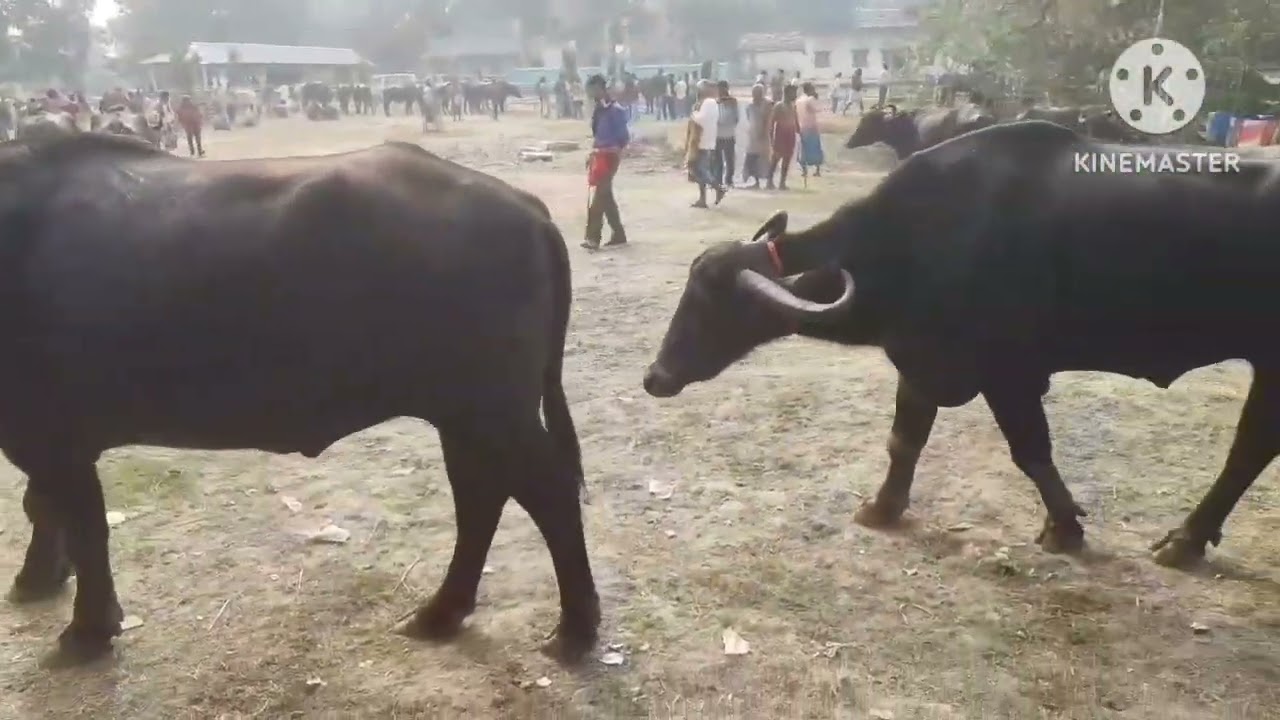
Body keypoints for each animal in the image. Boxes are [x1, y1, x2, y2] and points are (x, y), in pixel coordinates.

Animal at [0, 132, 599, 666]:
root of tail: (526, 209)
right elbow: (46, 508)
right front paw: (40, 578)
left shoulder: (51, 439)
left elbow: (83, 527)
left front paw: (85, 627)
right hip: (463, 415)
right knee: (482, 496)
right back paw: (442, 612)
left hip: (492, 411)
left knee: (546, 493)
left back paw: (575, 627)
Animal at [643, 120, 1278, 571]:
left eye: (709, 298)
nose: (656, 376)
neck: (911, 240)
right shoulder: (920, 361)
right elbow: (904, 441)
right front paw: (883, 507)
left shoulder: (1006, 374)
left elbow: (1031, 452)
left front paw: (1064, 528)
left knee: (1248, 449)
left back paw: (1184, 540)